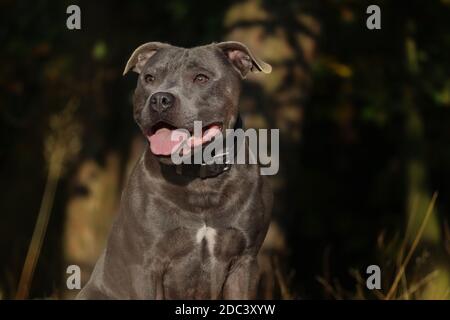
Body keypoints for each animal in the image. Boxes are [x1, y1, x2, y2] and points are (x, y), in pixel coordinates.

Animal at [77, 40, 272, 300]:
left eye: (201, 78)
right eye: (149, 78)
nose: (160, 99)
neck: (200, 182)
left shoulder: (245, 262)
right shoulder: (145, 265)